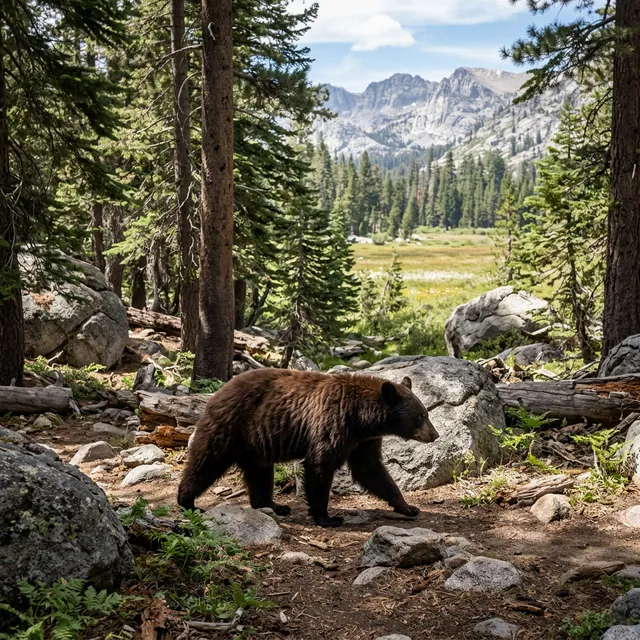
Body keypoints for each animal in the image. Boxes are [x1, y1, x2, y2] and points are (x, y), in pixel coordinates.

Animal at [177, 368, 439, 527]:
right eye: (420, 416)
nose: (435, 435)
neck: (362, 419)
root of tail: (217, 392)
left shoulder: (363, 441)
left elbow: (371, 470)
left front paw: (407, 507)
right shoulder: (332, 424)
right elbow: (320, 465)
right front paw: (327, 517)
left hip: (256, 445)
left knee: (260, 473)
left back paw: (274, 505)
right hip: (230, 428)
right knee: (205, 462)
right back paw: (188, 501)